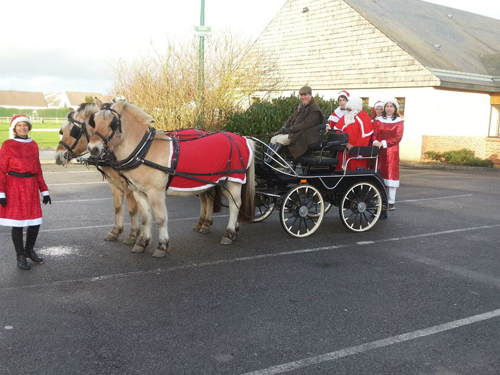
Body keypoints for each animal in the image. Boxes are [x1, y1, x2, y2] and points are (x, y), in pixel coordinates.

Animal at [56, 103, 141, 245]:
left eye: (74, 131)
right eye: (62, 131)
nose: (58, 156)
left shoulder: (128, 186)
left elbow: (133, 208)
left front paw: (133, 234)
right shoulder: (114, 183)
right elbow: (117, 206)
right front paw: (115, 231)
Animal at [86, 100, 256, 258]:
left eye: (113, 123)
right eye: (94, 122)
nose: (93, 149)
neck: (144, 151)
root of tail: (242, 138)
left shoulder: (156, 192)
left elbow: (161, 218)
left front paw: (162, 246)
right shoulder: (139, 192)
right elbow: (145, 218)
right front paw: (142, 242)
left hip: (233, 182)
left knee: (235, 205)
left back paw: (228, 233)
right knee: (232, 203)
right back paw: (234, 231)